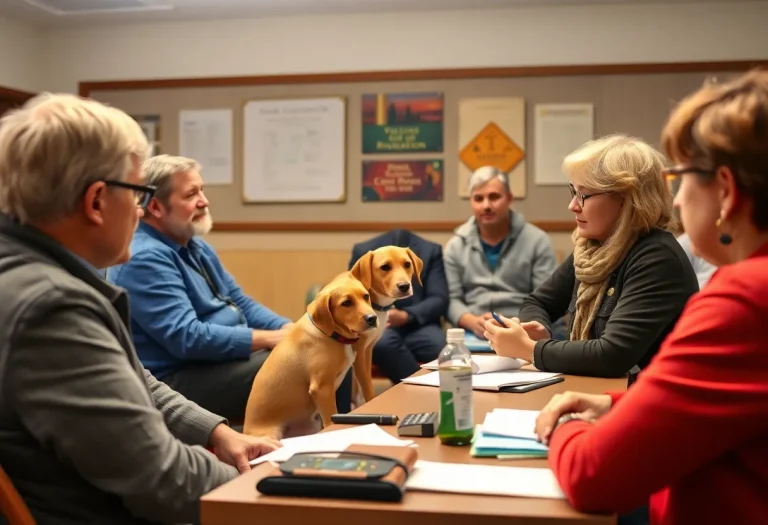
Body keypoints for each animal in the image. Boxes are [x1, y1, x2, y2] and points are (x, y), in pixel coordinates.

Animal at [243, 270, 378, 438]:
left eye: (366, 296)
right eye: (346, 303)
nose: (372, 318)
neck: (330, 334)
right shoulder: (321, 388)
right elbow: (330, 420)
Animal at [350, 246, 424, 402]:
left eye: (407, 264)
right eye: (385, 267)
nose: (404, 286)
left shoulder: (367, 351)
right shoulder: (358, 354)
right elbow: (367, 388)